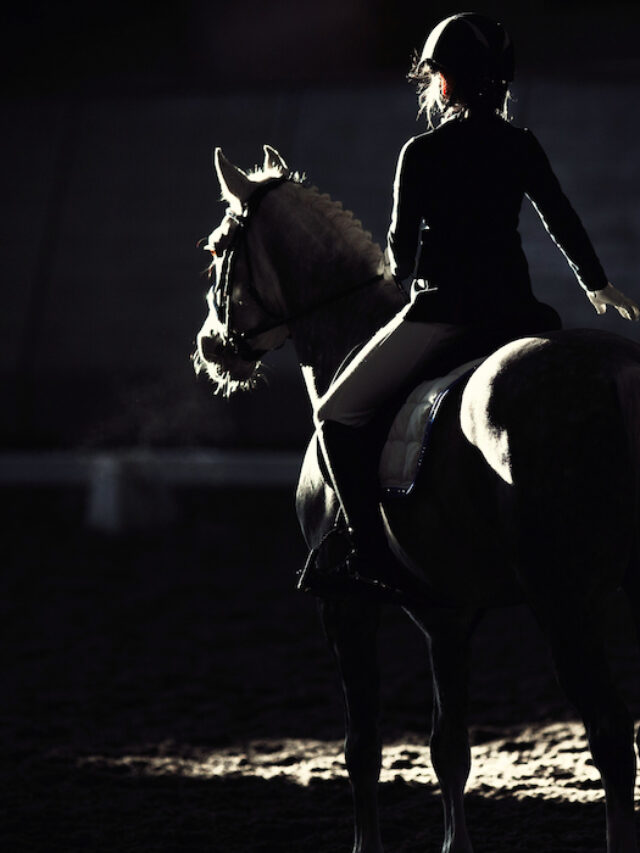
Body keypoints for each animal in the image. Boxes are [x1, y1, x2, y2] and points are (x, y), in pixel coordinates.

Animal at [194, 144, 640, 853]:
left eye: (215, 250)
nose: (211, 348)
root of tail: (619, 372)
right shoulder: (446, 615)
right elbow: (449, 748)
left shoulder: (343, 605)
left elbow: (362, 749)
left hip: (563, 602)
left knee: (610, 736)